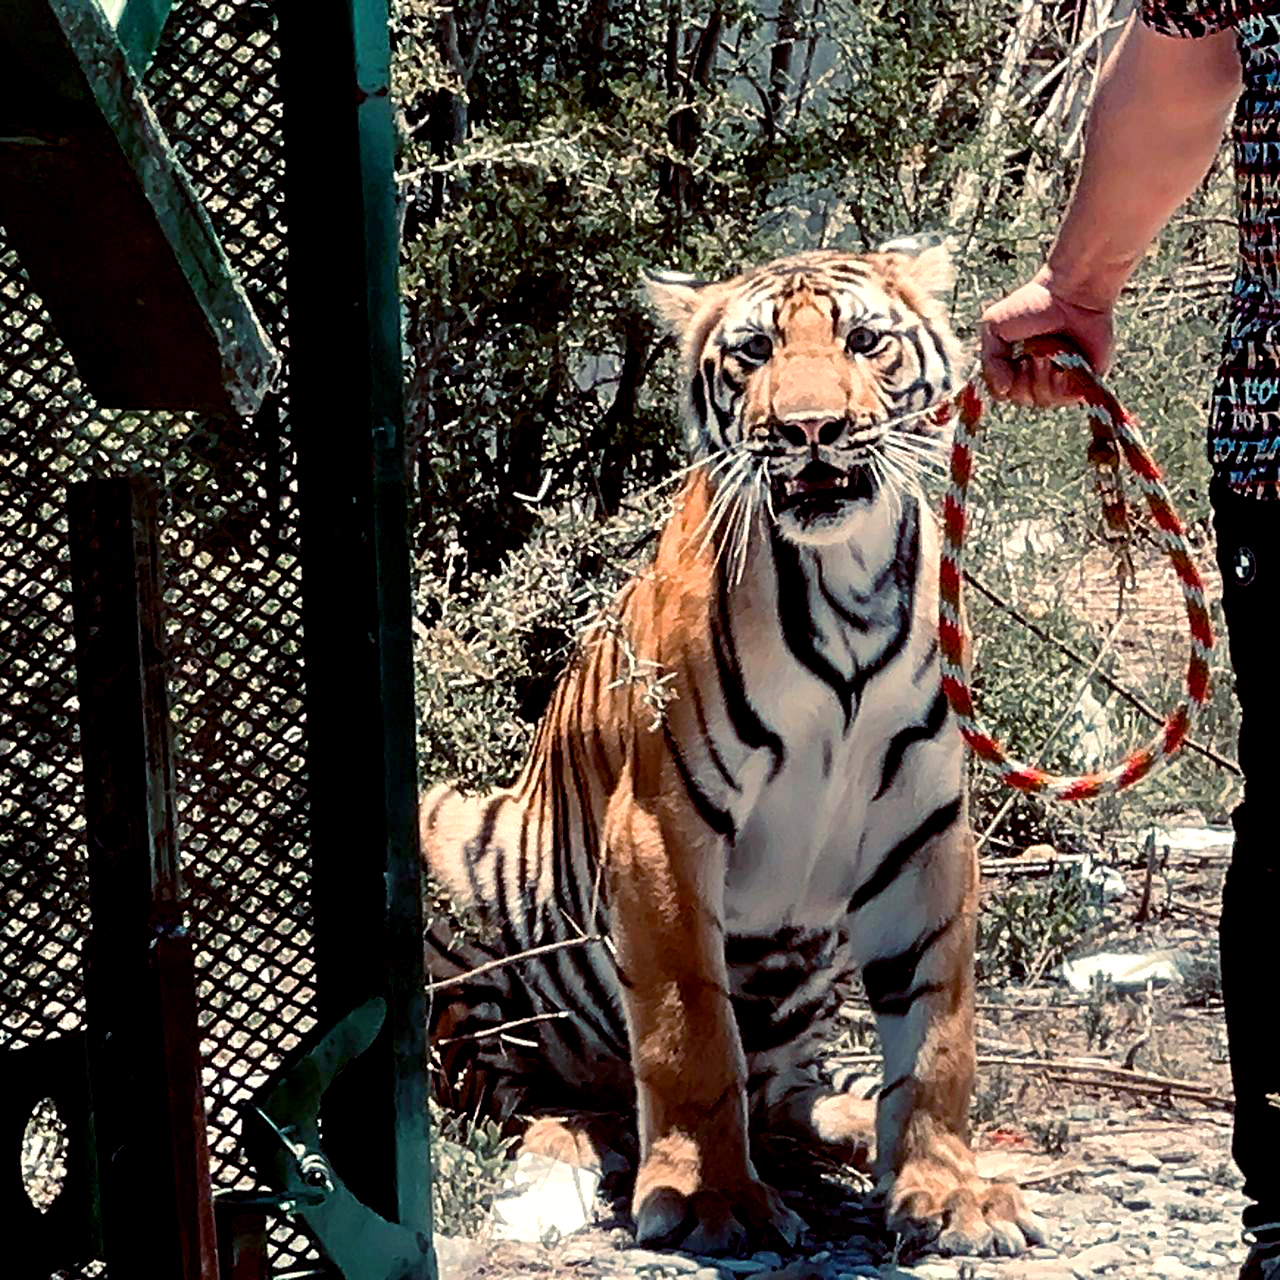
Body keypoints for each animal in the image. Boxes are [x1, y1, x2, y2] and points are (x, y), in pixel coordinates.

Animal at [420, 243, 1046, 1258]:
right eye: (753, 353)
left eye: (863, 342)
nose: (809, 427)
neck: (846, 581)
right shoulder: (663, 827)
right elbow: (689, 1026)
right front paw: (712, 1199)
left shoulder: (924, 827)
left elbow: (937, 1027)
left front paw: (950, 1188)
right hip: (450, 848)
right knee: (507, 1094)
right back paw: (577, 1143)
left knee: (786, 1091)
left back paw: (852, 1121)